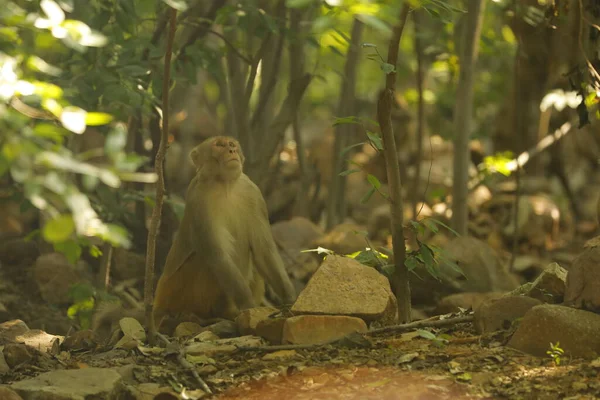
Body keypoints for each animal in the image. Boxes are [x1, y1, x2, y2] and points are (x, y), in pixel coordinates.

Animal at [151, 136, 296, 330]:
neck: (225, 185)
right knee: (205, 260)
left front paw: (290, 299)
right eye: (219, 145)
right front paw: (249, 305)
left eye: (232, 145)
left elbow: (263, 251)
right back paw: (211, 315)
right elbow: (218, 256)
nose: (232, 151)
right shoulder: (198, 200)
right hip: (177, 293)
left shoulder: (253, 192)